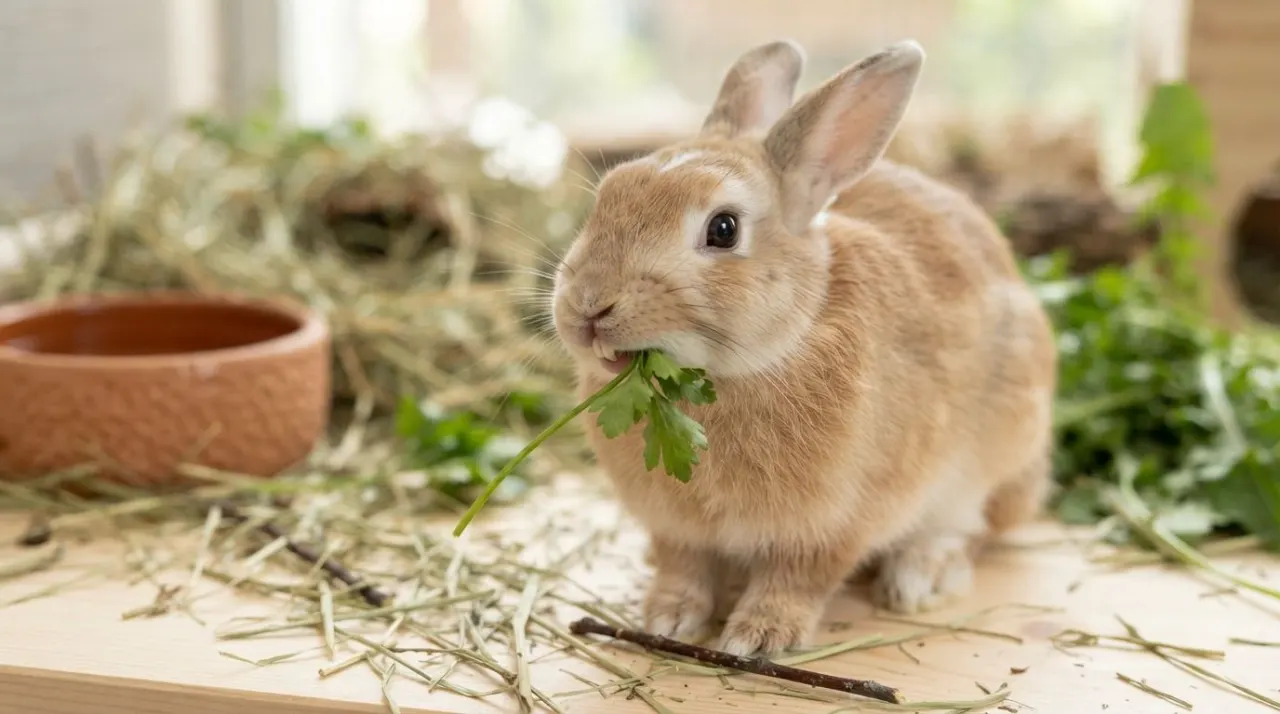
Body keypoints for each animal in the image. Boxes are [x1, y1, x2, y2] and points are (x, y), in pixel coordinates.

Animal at [549, 38, 1057, 656]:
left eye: (723, 229)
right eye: (608, 196)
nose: (588, 307)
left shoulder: (836, 522)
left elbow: (798, 578)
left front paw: (757, 638)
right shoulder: (676, 528)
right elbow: (682, 567)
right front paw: (667, 618)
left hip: (996, 455)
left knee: (971, 527)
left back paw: (920, 576)